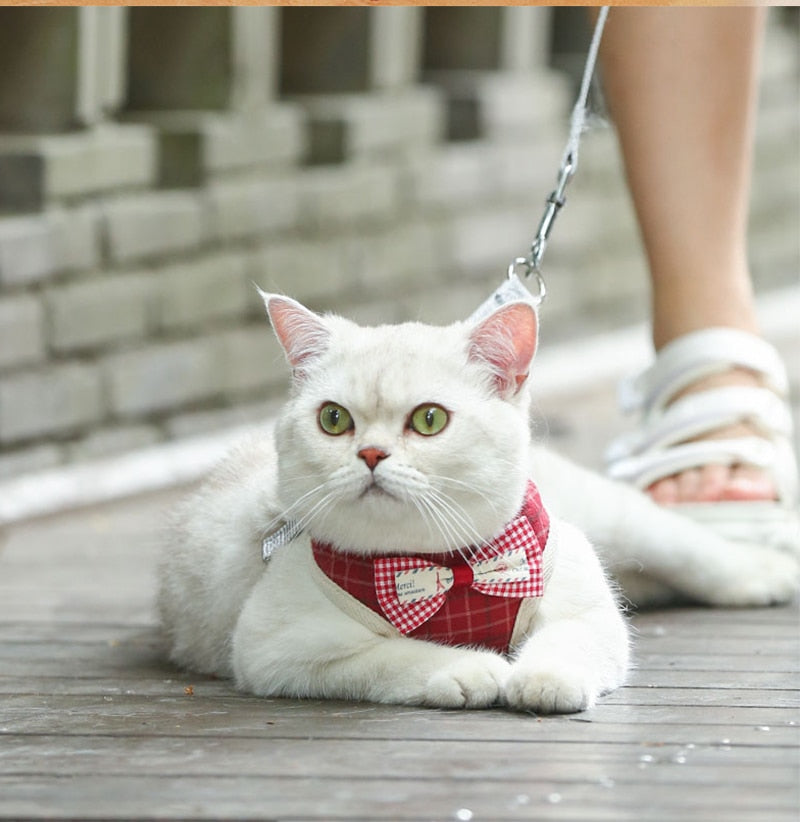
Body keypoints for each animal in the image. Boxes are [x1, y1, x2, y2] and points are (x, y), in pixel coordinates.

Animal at [158, 296, 800, 716]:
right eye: (333, 420)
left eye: (429, 419)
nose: (370, 453)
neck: (449, 568)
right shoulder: (279, 648)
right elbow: (392, 655)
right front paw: (467, 668)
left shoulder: (584, 606)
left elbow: (573, 640)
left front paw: (543, 678)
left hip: (615, 523)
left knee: (693, 548)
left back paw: (767, 572)